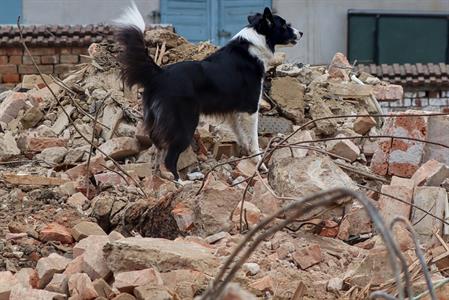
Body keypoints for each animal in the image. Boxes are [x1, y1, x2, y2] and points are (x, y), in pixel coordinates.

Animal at [114, 2, 300, 183]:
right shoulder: (250, 109)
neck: (255, 42)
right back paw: (181, 181)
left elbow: (241, 136)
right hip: (185, 124)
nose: (301, 33)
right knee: (170, 157)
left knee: (159, 147)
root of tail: (159, 73)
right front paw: (260, 165)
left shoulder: (234, 112)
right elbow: (253, 140)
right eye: (284, 25)